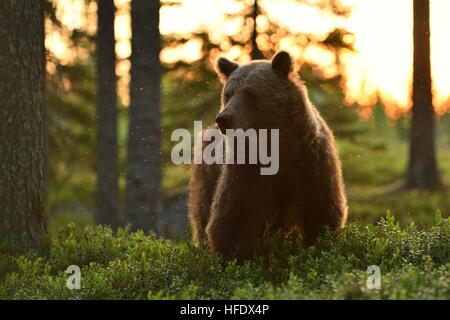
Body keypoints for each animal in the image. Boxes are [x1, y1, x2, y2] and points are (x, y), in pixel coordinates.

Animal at [188, 51, 346, 262]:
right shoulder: (246, 172)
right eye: (228, 94)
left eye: (250, 93)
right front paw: (236, 257)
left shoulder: (309, 162)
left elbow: (321, 211)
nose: (223, 119)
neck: (277, 147)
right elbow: (233, 218)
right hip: (208, 175)